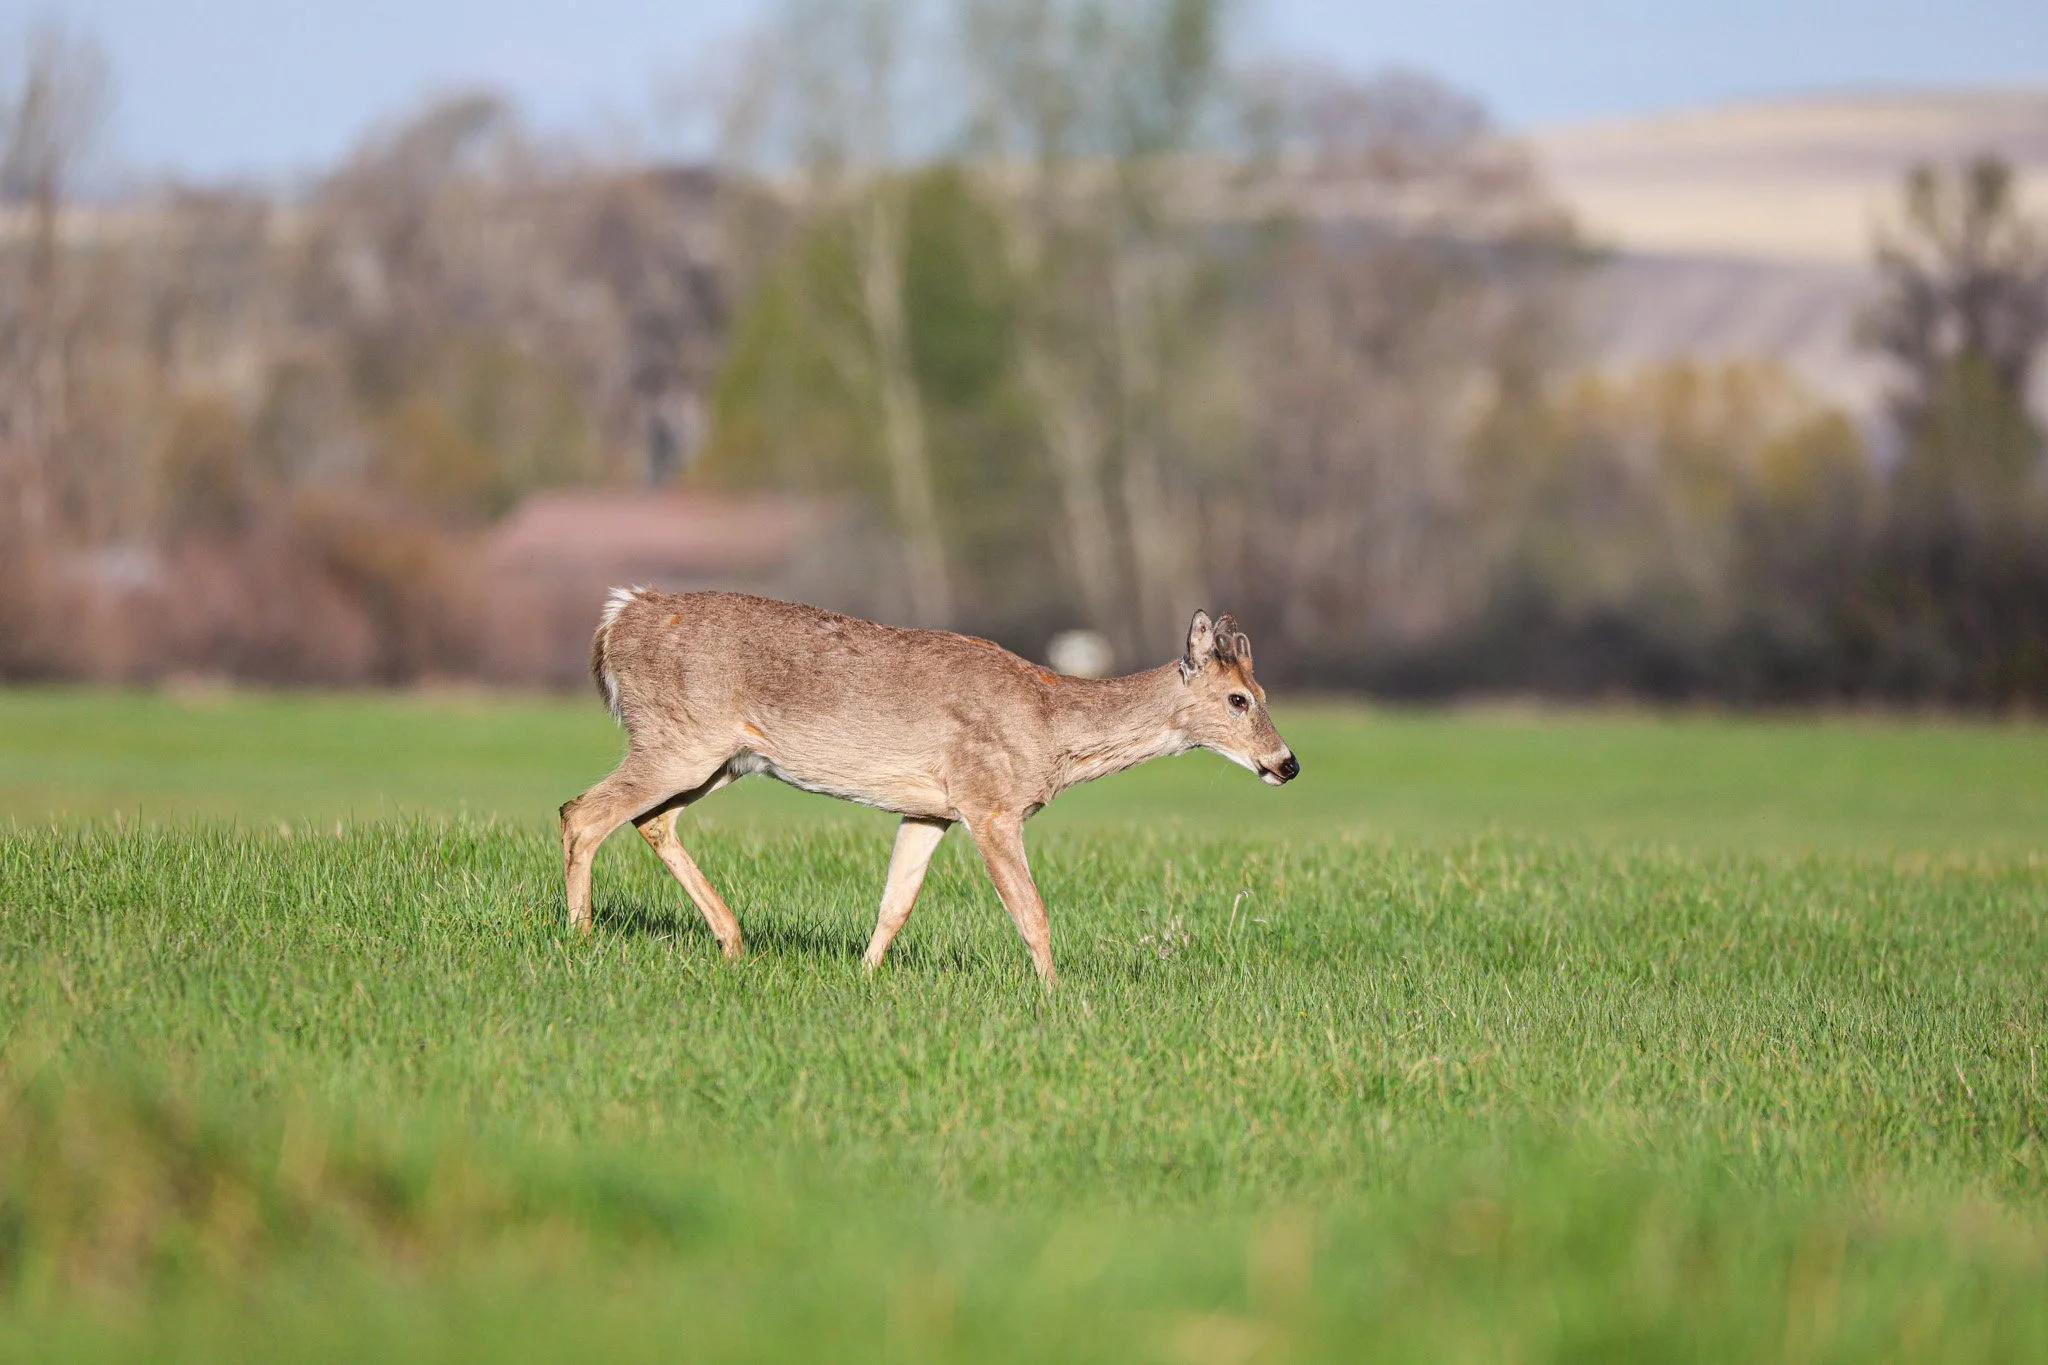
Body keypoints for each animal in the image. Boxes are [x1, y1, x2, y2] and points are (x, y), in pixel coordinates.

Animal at [560, 589, 1298, 985]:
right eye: (1237, 699)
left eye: (1264, 693)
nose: (1287, 762)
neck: (1051, 726)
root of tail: (618, 616)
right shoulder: (989, 800)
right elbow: (1032, 912)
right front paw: (1058, 996)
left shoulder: (928, 811)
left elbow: (896, 903)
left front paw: (864, 975)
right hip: (678, 740)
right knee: (581, 813)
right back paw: (581, 939)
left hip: (719, 758)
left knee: (648, 820)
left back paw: (733, 942)